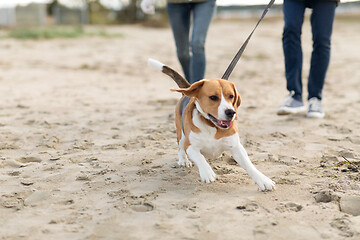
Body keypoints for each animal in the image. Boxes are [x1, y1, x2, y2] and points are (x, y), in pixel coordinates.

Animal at [148, 58, 274, 191]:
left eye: (231, 96)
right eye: (213, 97)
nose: (231, 112)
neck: (211, 126)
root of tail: (187, 92)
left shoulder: (236, 147)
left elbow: (249, 165)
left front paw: (263, 180)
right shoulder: (190, 146)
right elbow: (200, 158)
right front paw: (207, 172)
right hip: (181, 135)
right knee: (180, 148)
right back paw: (184, 160)